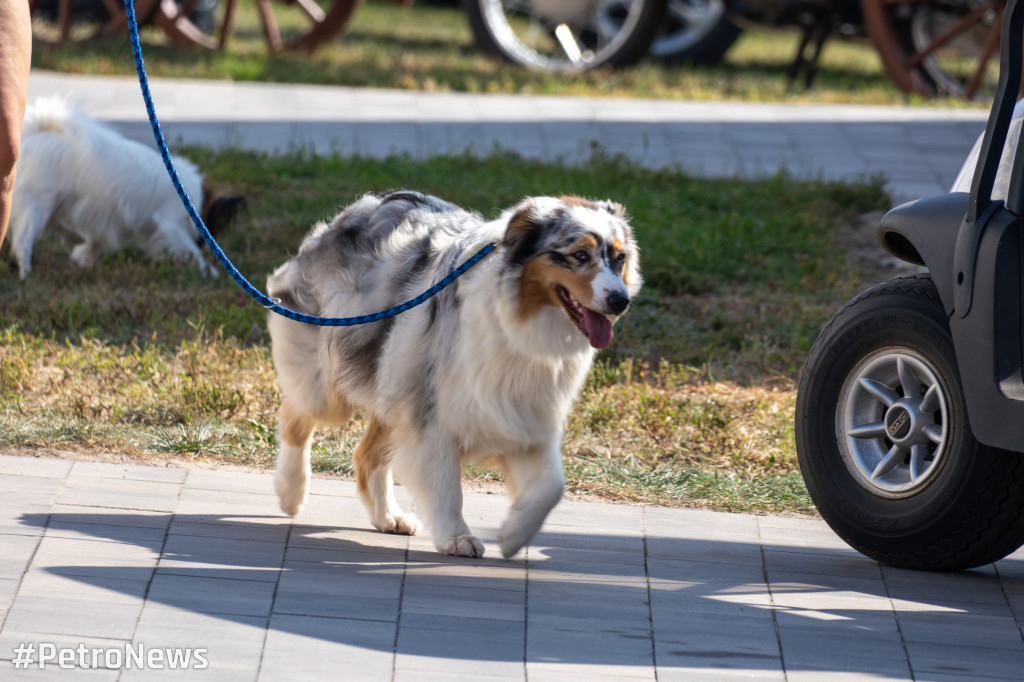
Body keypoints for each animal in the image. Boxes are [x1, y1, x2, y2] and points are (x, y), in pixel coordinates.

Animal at [8, 94, 241, 278]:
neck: (193, 200)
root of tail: (35, 134)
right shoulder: (170, 225)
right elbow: (191, 252)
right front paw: (210, 271)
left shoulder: (115, 224)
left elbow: (98, 243)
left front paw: (84, 257)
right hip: (38, 204)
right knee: (23, 240)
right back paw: (26, 272)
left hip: (50, 203)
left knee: (52, 223)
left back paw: (73, 237)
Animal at [268, 188, 643, 557]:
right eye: (579, 255)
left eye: (620, 258)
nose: (620, 301)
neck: (520, 318)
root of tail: (361, 207)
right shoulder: (434, 409)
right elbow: (447, 484)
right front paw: (456, 537)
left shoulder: (527, 411)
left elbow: (552, 486)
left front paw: (514, 534)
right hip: (331, 383)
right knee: (295, 416)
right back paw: (291, 493)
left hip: (394, 379)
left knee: (365, 455)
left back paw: (389, 516)